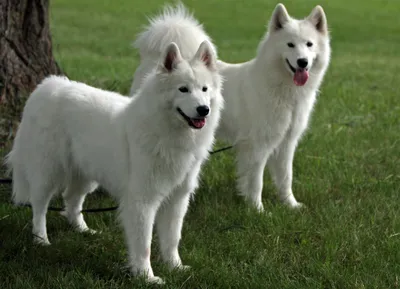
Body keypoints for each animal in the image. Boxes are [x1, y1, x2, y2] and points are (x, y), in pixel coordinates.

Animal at [6, 38, 223, 284]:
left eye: (205, 89)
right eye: (183, 89)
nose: (203, 110)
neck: (166, 131)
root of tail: (46, 87)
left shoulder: (177, 199)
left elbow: (172, 238)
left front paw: (175, 267)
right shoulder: (142, 201)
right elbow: (144, 245)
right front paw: (146, 277)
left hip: (86, 174)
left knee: (71, 200)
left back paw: (83, 230)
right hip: (49, 172)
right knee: (39, 206)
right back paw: (41, 240)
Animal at [131, 2, 332, 212]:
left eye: (309, 44)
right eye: (290, 44)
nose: (302, 62)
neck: (283, 91)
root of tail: (153, 60)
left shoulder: (286, 143)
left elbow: (286, 178)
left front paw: (290, 204)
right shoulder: (257, 146)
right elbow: (256, 182)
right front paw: (258, 210)